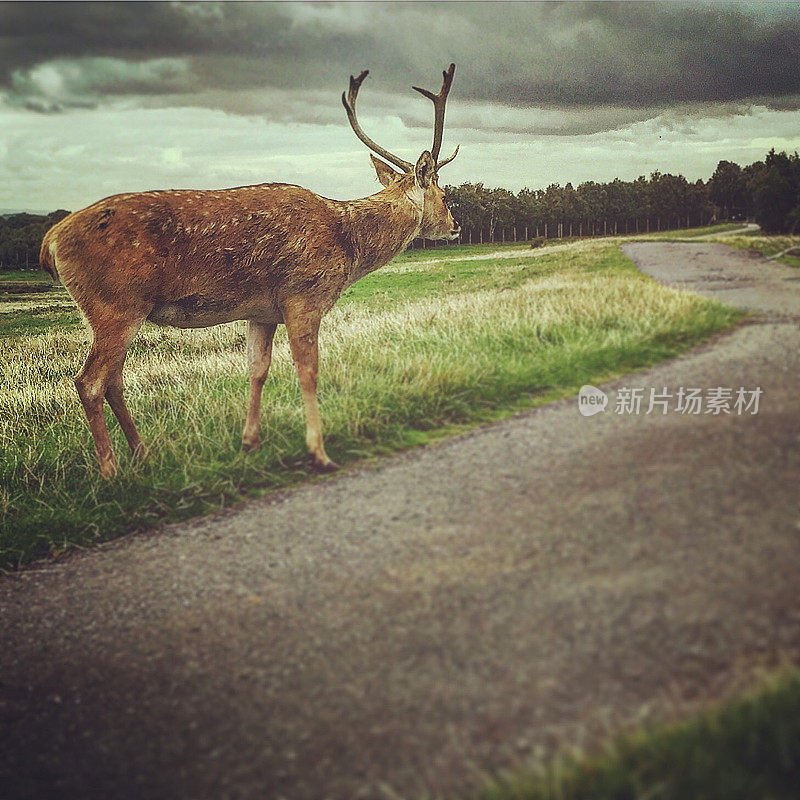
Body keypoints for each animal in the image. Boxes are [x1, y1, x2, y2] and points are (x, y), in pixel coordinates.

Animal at [39, 64, 462, 476]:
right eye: (444, 195)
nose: (456, 226)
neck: (348, 241)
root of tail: (50, 243)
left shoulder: (262, 312)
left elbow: (257, 369)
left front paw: (250, 442)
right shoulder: (303, 295)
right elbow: (308, 371)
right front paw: (319, 452)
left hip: (115, 311)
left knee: (113, 380)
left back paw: (143, 454)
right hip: (116, 303)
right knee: (89, 382)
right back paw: (111, 471)